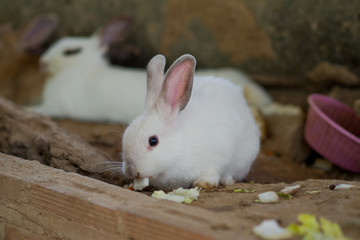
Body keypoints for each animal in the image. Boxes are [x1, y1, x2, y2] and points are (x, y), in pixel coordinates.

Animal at [30, 18, 272, 129]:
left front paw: (28, 109)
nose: (42, 63)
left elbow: (43, 109)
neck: (80, 69)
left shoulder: (57, 105)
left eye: (71, 51)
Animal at [122, 54, 260, 189]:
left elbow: (212, 172)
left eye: (153, 141)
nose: (131, 172)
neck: (180, 147)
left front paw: (204, 183)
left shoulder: (216, 157)